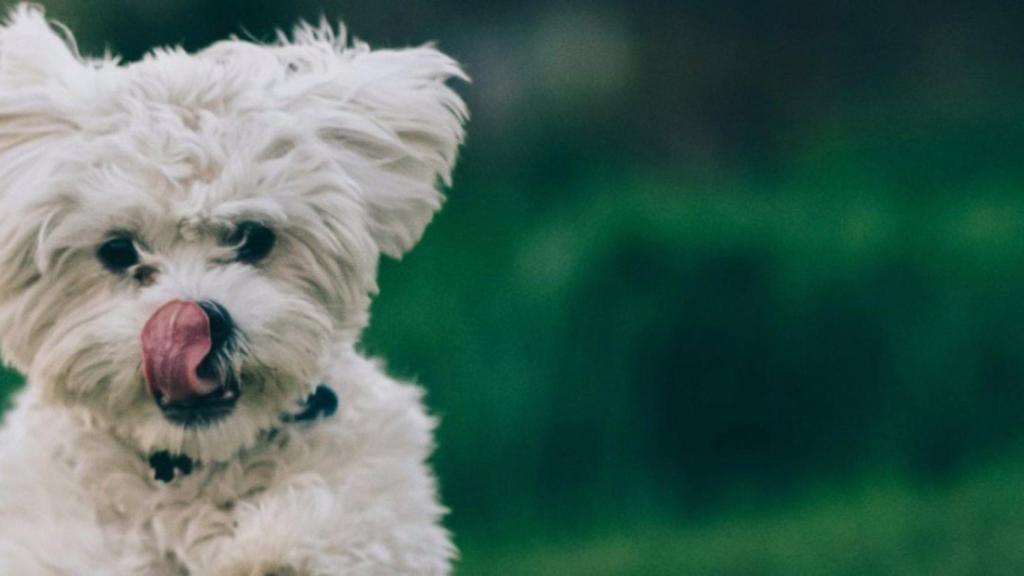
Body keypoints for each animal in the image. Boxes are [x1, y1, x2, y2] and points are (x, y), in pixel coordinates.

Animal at [0, 5, 468, 573]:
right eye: (117, 251)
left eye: (254, 237)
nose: (194, 323)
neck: (200, 469)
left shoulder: (380, 516)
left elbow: (330, 524)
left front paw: (279, 537)